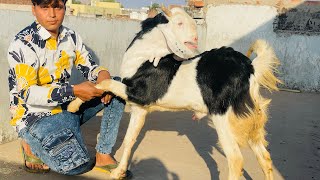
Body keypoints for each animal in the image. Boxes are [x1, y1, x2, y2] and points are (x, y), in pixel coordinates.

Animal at [67, 7, 280, 180]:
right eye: (179, 22)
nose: (195, 40)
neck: (145, 57)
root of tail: (249, 67)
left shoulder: (137, 93)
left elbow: (105, 82)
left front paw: (73, 105)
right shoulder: (140, 109)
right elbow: (129, 140)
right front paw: (118, 172)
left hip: (224, 119)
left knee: (236, 160)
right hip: (249, 122)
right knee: (265, 158)